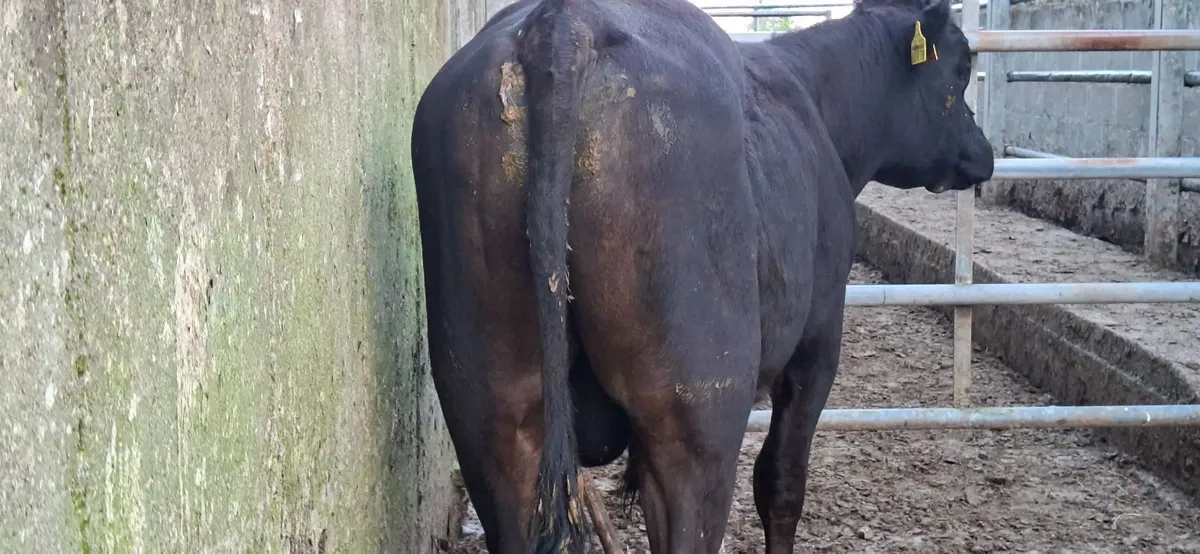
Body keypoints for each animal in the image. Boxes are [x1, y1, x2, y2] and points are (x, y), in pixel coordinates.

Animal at [410, 0, 994, 551]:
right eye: (962, 66)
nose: (983, 152)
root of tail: (563, 25)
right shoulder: (817, 342)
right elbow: (781, 483)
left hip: (489, 408)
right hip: (697, 412)